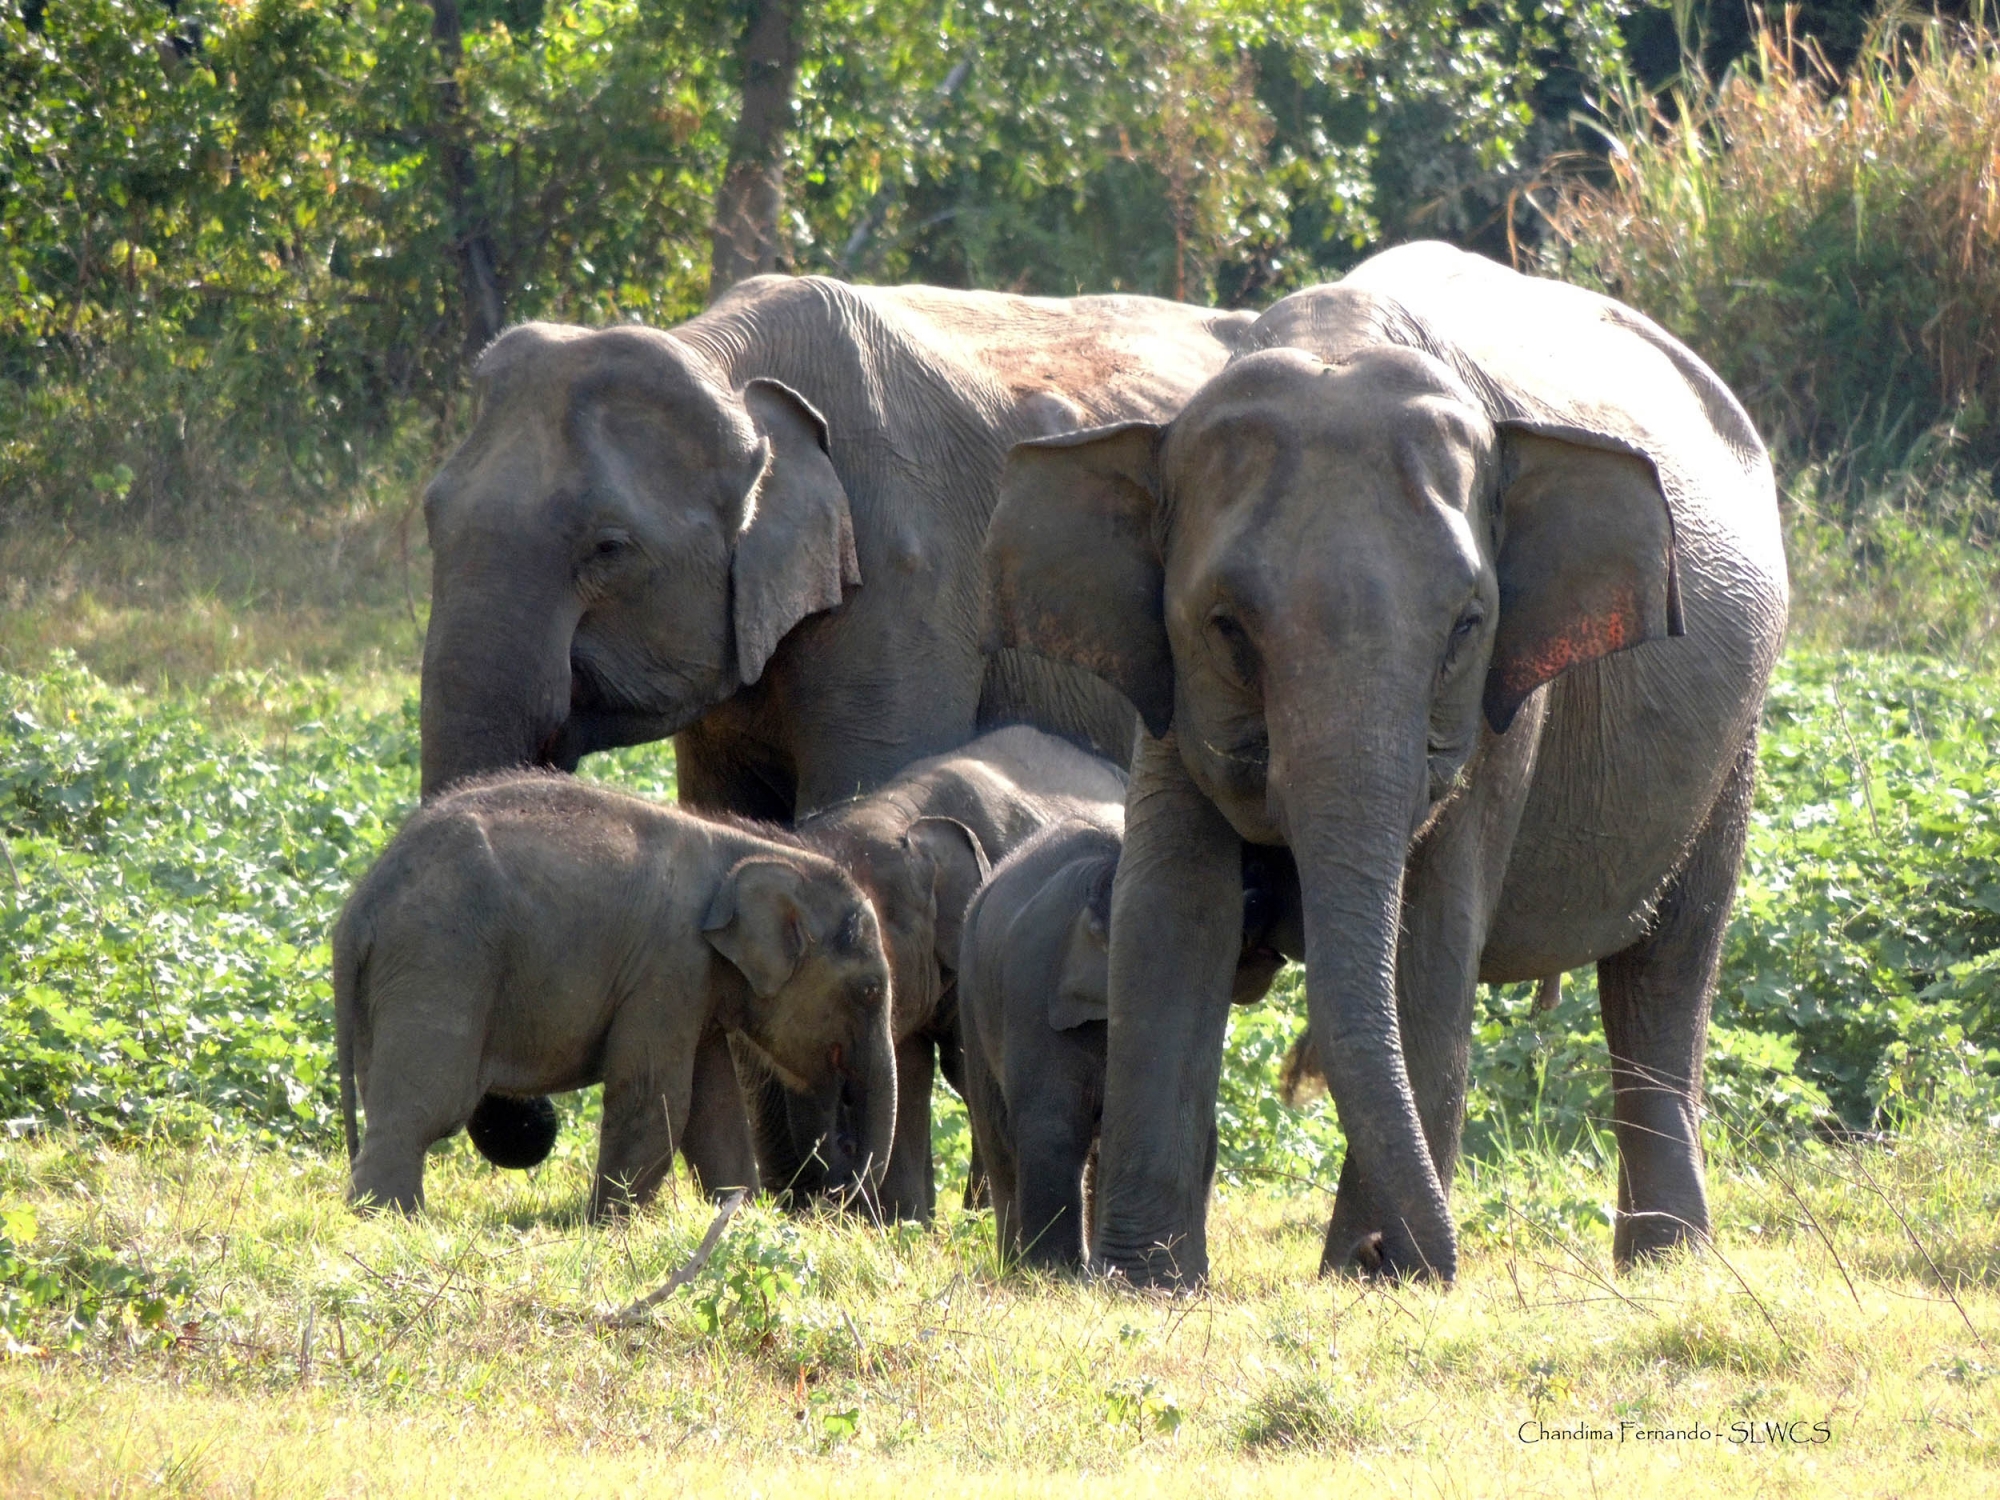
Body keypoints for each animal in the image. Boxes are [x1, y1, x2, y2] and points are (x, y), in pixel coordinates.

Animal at [332, 776, 896, 1224]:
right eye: (869, 990)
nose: (837, 1201)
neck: (752, 852)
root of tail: (359, 904)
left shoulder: (696, 983)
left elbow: (714, 1110)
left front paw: (741, 1221)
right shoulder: (667, 964)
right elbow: (655, 1096)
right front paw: (605, 1229)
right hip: (440, 960)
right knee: (427, 1108)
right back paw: (392, 1224)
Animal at [418, 276, 1248, 1184]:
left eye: (608, 547)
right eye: (430, 517)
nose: (532, 1129)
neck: (727, 358)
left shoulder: (910, 580)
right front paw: (791, 1193)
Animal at [960, 824, 1288, 1272]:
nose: (1262, 890)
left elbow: (1199, 1130)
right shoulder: (1033, 993)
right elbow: (1053, 1127)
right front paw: (1055, 1274)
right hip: (974, 1008)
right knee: (998, 1137)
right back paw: (1016, 1267)